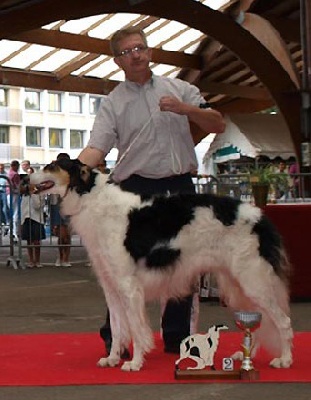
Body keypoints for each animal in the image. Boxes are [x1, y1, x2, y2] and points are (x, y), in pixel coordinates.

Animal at [31, 159, 294, 372]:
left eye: (52, 166)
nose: (25, 178)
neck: (93, 199)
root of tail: (261, 218)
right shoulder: (111, 287)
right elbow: (117, 328)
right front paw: (113, 358)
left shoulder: (128, 286)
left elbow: (135, 328)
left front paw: (135, 363)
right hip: (238, 284)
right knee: (262, 321)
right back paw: (246, 355)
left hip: (253, 280)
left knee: (282, 321)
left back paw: (285, 359)